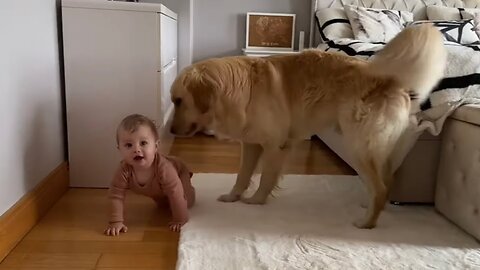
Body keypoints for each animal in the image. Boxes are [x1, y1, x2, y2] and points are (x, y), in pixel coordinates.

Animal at [168, 24, 446, 228]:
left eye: (178, 101)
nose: (169, 130)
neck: (241, 90)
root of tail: (391, 79)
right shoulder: (251, 144)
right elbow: (242, 175)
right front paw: (232, 197)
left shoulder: (274, 146)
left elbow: (265, 178)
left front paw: (255, 202)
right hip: (376, 149)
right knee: (386, 183)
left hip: (358, 147)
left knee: (379, 188)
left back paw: (366, 223)